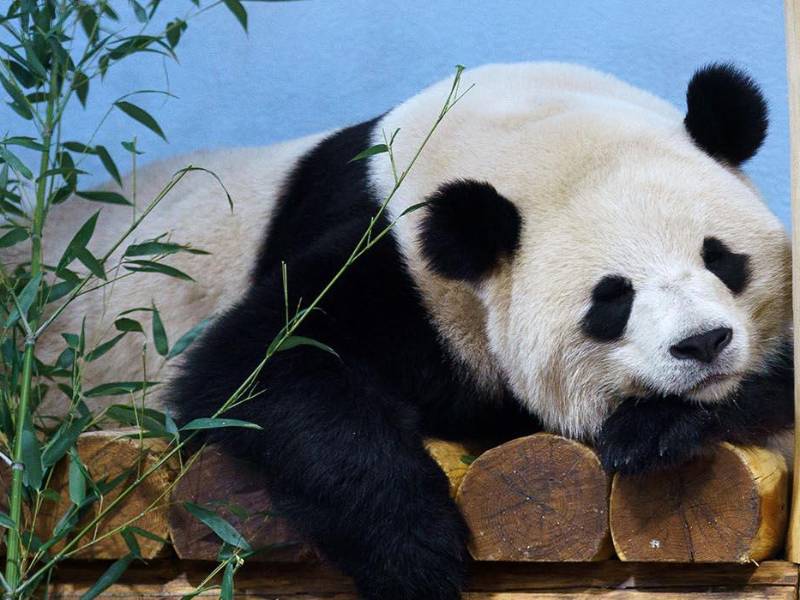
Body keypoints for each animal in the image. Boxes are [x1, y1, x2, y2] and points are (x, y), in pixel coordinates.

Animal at [18, 62, 793, 599]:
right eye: (612, 300)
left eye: (720, 258)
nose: (702, 344)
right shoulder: (387, 260)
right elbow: (257, 367)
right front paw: (417, 553)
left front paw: (656, 427)